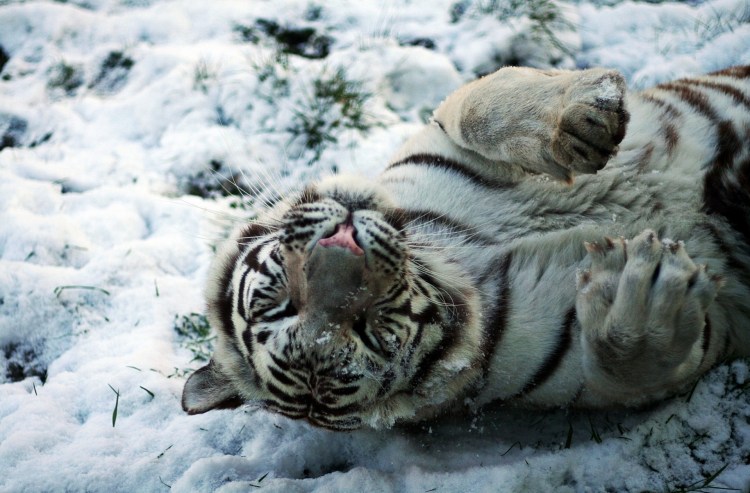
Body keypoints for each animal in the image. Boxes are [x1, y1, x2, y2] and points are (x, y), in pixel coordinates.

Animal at [181, 64, 750, 431]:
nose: (344, 250)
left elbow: (479, 104)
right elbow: (626, 361)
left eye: (282, 302)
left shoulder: (441, 132)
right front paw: (644, 292)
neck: (463, 256)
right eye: (366, 331)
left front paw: (582, 119)